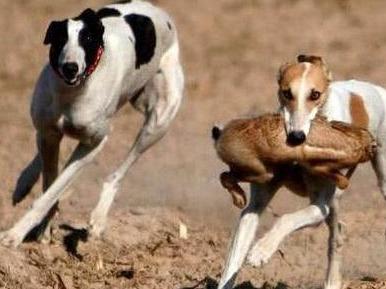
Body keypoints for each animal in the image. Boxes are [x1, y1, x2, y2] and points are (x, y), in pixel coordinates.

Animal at [0, 0, 184, 248]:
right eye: (60, 38)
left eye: (87, 39)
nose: (70, 67)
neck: (72, 93)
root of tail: (158, 11)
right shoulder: (49, 132)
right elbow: (50, 184)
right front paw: (44, 228)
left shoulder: (93, 144)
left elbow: (53, 191)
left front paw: (15, 234)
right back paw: (24, 182)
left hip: (158, 122)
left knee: (117, 174)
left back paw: (98, 218)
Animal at [217, 54, 386, 288]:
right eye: (287, 93)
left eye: (315, 94)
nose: (296, 137)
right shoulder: (254, 207)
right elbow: (232, 261)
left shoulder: (319, 207)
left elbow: (286, 218)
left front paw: (261, 251)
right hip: (334, 202)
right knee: (338, 232)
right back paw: (332, 281)